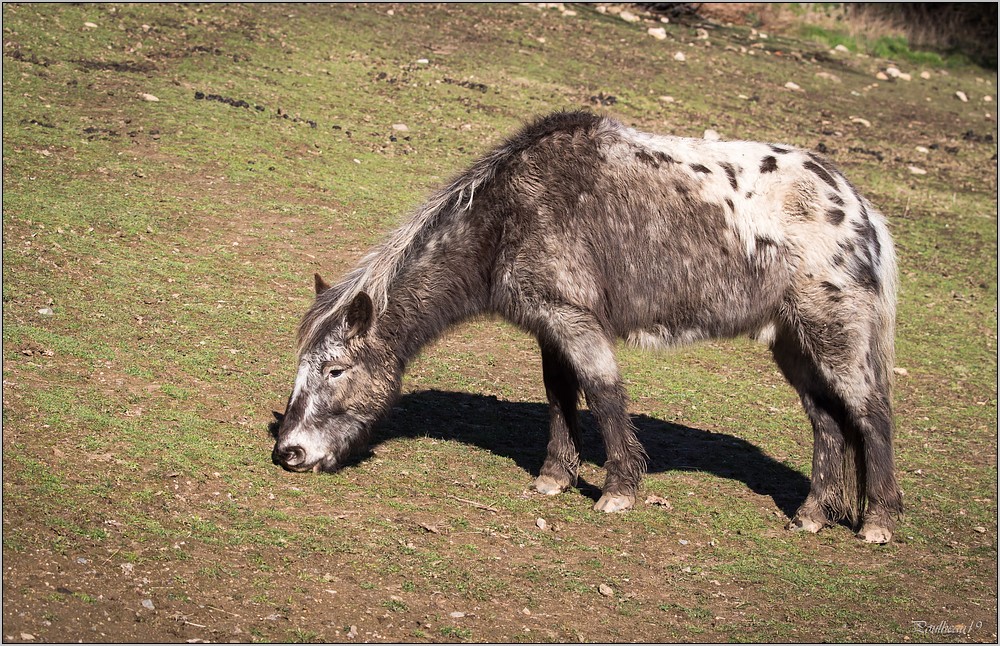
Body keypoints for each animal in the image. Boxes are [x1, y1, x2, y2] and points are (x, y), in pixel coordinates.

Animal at [274, 112, 908, 548]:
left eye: (336, 369)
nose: (290, 453)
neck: (508, 217)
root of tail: (859, 208)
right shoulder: (548, 325)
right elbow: (561, 396)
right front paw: (555, 477)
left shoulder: (574, 319)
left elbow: (603, 393)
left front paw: (619, 490)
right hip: (793, 344)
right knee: (828, 423)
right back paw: (811, 516)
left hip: (833, 335)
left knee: (870, 415)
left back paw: (877, 523)